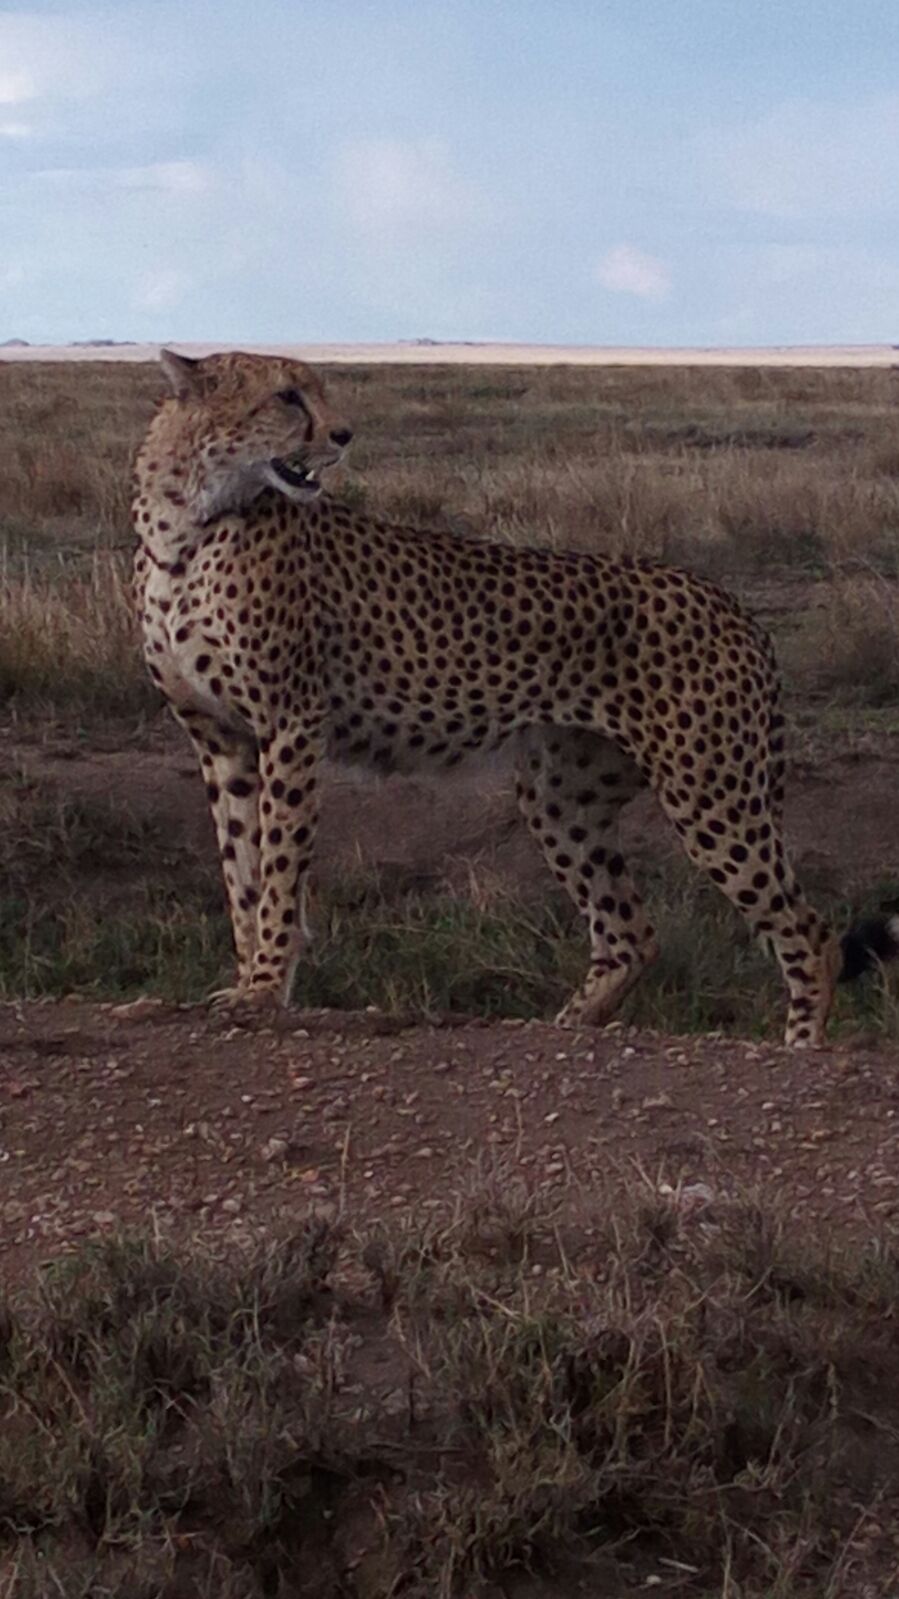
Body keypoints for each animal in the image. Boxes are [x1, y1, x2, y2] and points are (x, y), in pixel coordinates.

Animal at [132, 348, 898, 1047]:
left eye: (317, 392)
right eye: (287, 397)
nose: (344, 435)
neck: (191, 517)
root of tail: (731, 601)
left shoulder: (290, 723)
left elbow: (279, 868)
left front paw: (265, 989)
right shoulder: (222, 738)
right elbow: (242, 871)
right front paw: (246, 980)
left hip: (709, 789)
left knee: (808, 932)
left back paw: (799, 1047)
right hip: (563, 797)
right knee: (631, 930)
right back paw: (567, 1025)